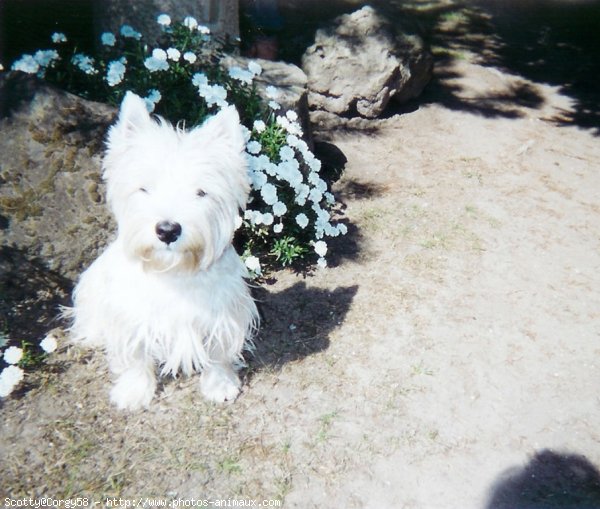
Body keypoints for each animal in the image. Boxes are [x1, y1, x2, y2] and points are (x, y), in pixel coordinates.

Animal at [69, 91, 258, 408]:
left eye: (201, 192)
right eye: (145, 188)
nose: (168, 230)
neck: (173, 272)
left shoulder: (223, 314)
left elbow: (218, 353)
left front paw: (220, 384)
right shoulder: (132, 316)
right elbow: (135, 354)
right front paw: (133, 391)